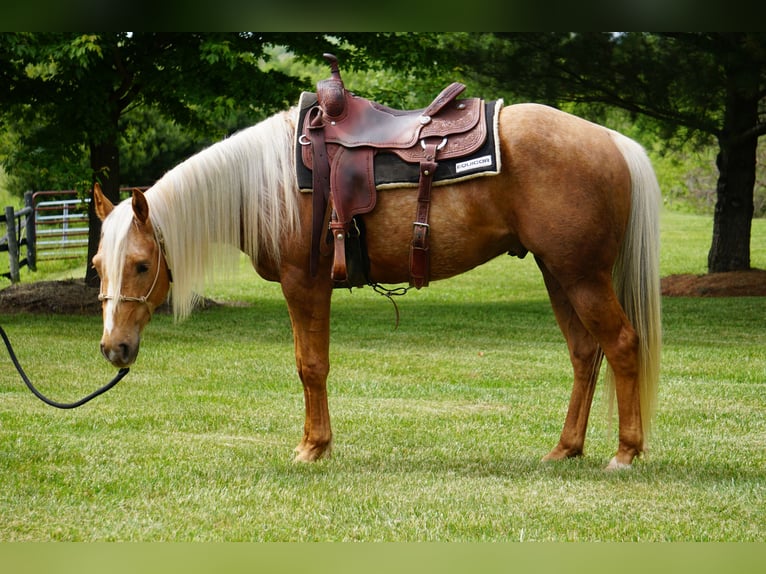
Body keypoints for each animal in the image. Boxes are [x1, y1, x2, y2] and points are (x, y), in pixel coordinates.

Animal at [91, 100, 661, 470]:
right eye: (98, 263)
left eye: (140, 265)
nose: (114, 348)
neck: (269, 184)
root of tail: (612, 140)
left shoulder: (305, 283)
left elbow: (311, 366)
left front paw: (312, 448)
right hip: (558, 272)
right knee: (585, 353)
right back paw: (566, 449)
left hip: (582, 275)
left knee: (621, 344)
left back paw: (625, 452)